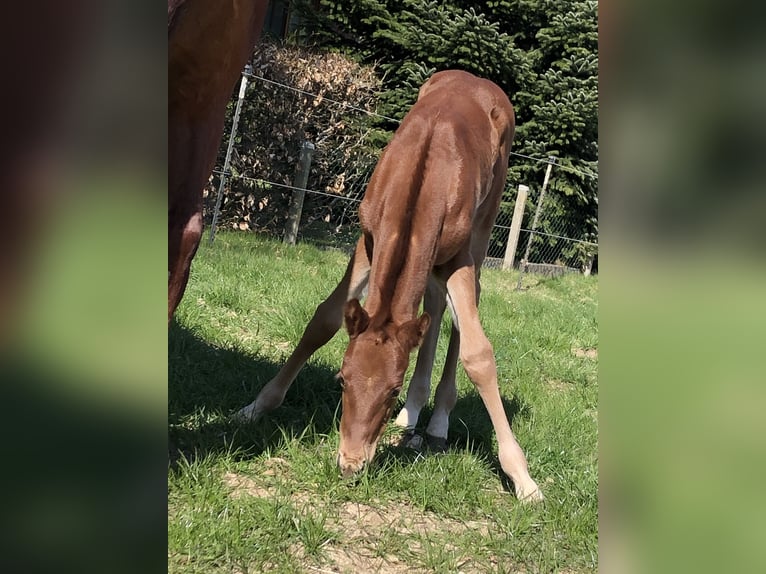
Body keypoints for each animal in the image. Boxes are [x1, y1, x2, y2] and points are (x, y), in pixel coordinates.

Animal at [237, 70, 543, 502]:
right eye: (342, 379)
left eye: (391, 390)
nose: (350, 465)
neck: (424, 179)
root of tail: (479, 79)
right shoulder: (368, 239)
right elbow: (324, 319)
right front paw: (256, 406)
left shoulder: (459, 258)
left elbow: (478, 354)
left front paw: (522, 478)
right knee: (432, 306)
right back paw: (412, 417)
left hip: (481, 233)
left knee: (461, 315)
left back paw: (436, 424)